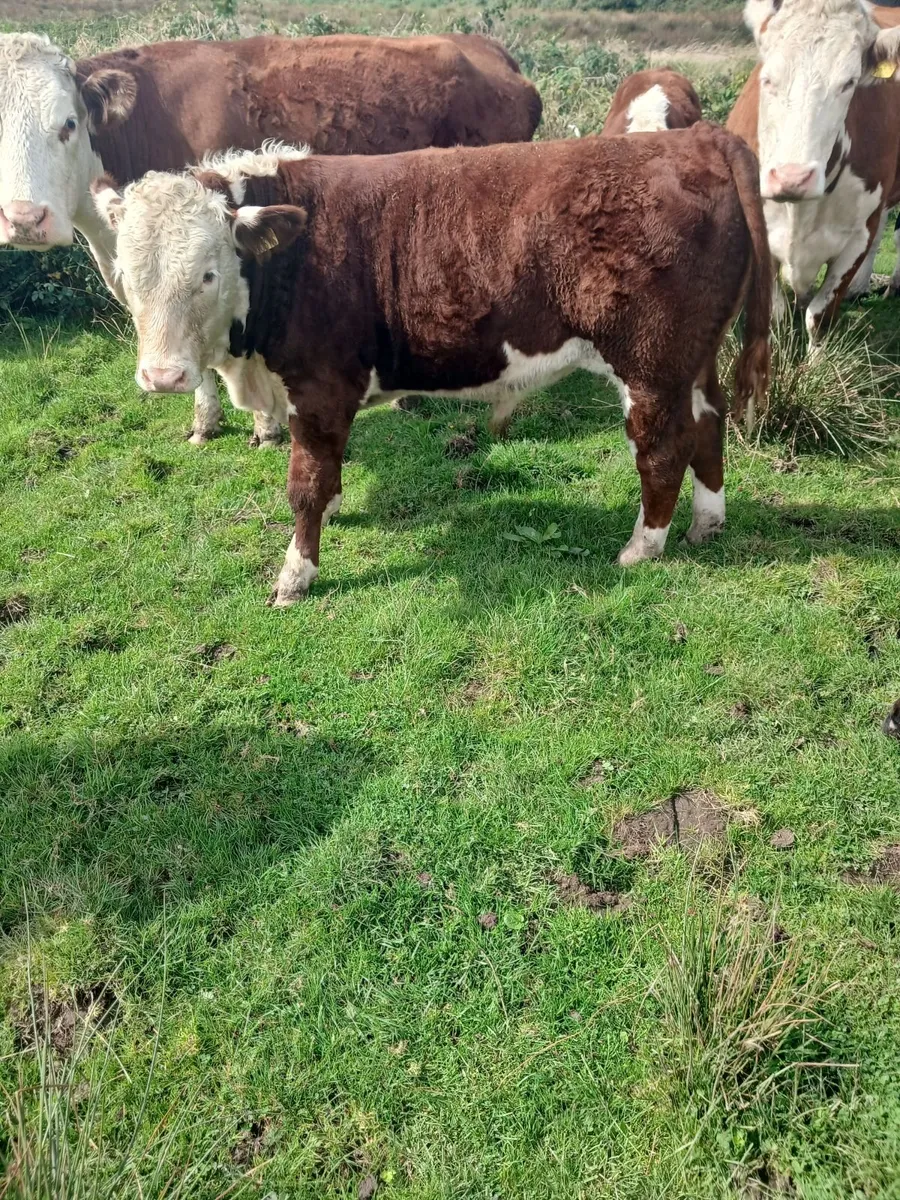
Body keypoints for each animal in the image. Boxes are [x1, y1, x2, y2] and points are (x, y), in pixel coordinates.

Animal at [91, 127, 771, 605]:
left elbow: (306, 484)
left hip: (650, 364)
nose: (162, 377)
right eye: (127, 276)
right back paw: (707, 523)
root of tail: (698, 136)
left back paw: (641, 547)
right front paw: (332, 513)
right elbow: (328, 472)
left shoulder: (319, 386)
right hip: (693, 361)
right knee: (709, 424)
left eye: (208, 273)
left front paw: (295, 575)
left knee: (664, 447)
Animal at [727, 0, 900, 337]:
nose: (792, 178)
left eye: (849, 83)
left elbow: (820, 317)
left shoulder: (858, 236)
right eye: (767, 78)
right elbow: (775, 315)